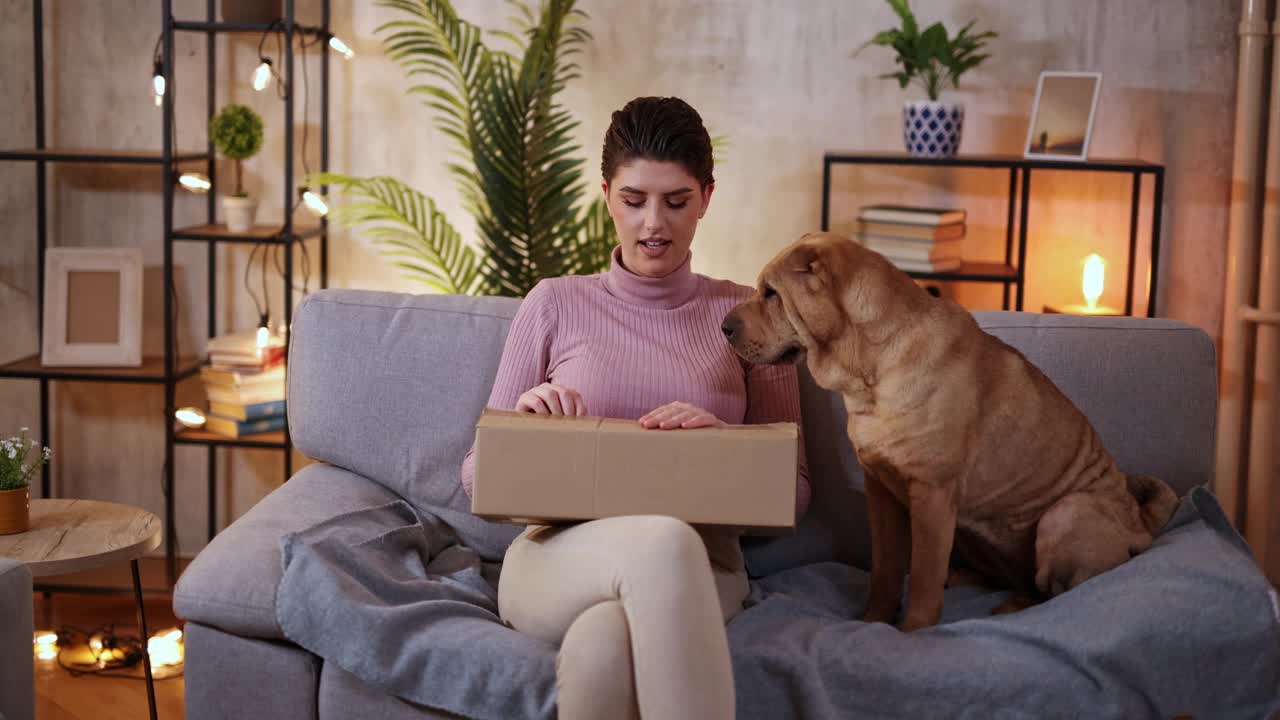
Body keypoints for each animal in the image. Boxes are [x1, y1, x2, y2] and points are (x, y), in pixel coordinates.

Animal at [727, 230, 1172, 627]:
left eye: (771, 293)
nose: (724, 327)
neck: (868, 372)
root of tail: (1140, 526)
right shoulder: (880, 489)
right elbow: (886, 568)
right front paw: (874, 620)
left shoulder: (932, 492)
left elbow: (923, 578)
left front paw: (912, 632)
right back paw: (964, 579)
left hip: (1063, 514)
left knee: (1055, 590)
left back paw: (1012, 607)